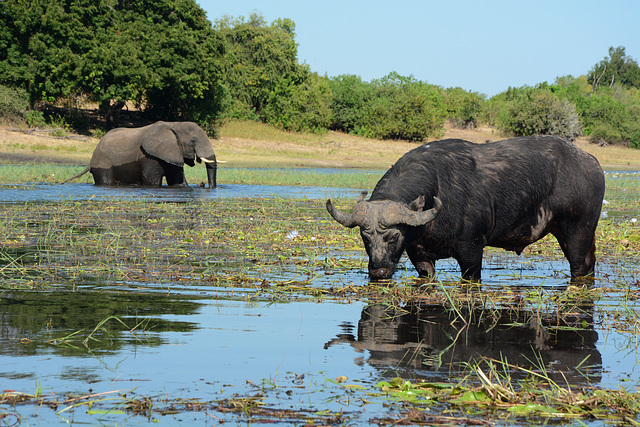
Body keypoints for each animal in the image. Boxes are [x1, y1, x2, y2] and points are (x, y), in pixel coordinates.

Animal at [67, 120, 218, 187]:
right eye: (193, 141)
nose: (207, 186)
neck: (174, 124)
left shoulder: (172, 152)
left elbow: (177, 182)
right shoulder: (149, 156)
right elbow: (152, 182)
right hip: (103, 163)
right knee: (106, 180)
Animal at [330, 137, 604, 282]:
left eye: (394, 236)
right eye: (365, 238)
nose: (379, 271)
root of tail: (591, 161)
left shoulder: (471, 251)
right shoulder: (419, 255)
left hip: (577, 231)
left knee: (580, 266)